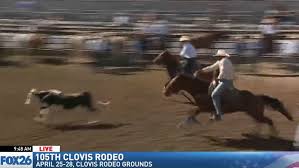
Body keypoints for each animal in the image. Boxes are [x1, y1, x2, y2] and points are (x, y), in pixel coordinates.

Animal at [163, 74, 294, 133]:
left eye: (173, 83)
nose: (165, 92)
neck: (202, 90)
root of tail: (258, 97)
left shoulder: (205, 107)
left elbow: (192, 112)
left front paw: (184, 124)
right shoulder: (205, 108)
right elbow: (192, 113)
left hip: (256, 114)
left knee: (268, 121)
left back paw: (273, 135)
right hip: (253, 114)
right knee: (262, 122)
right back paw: (256, 133)